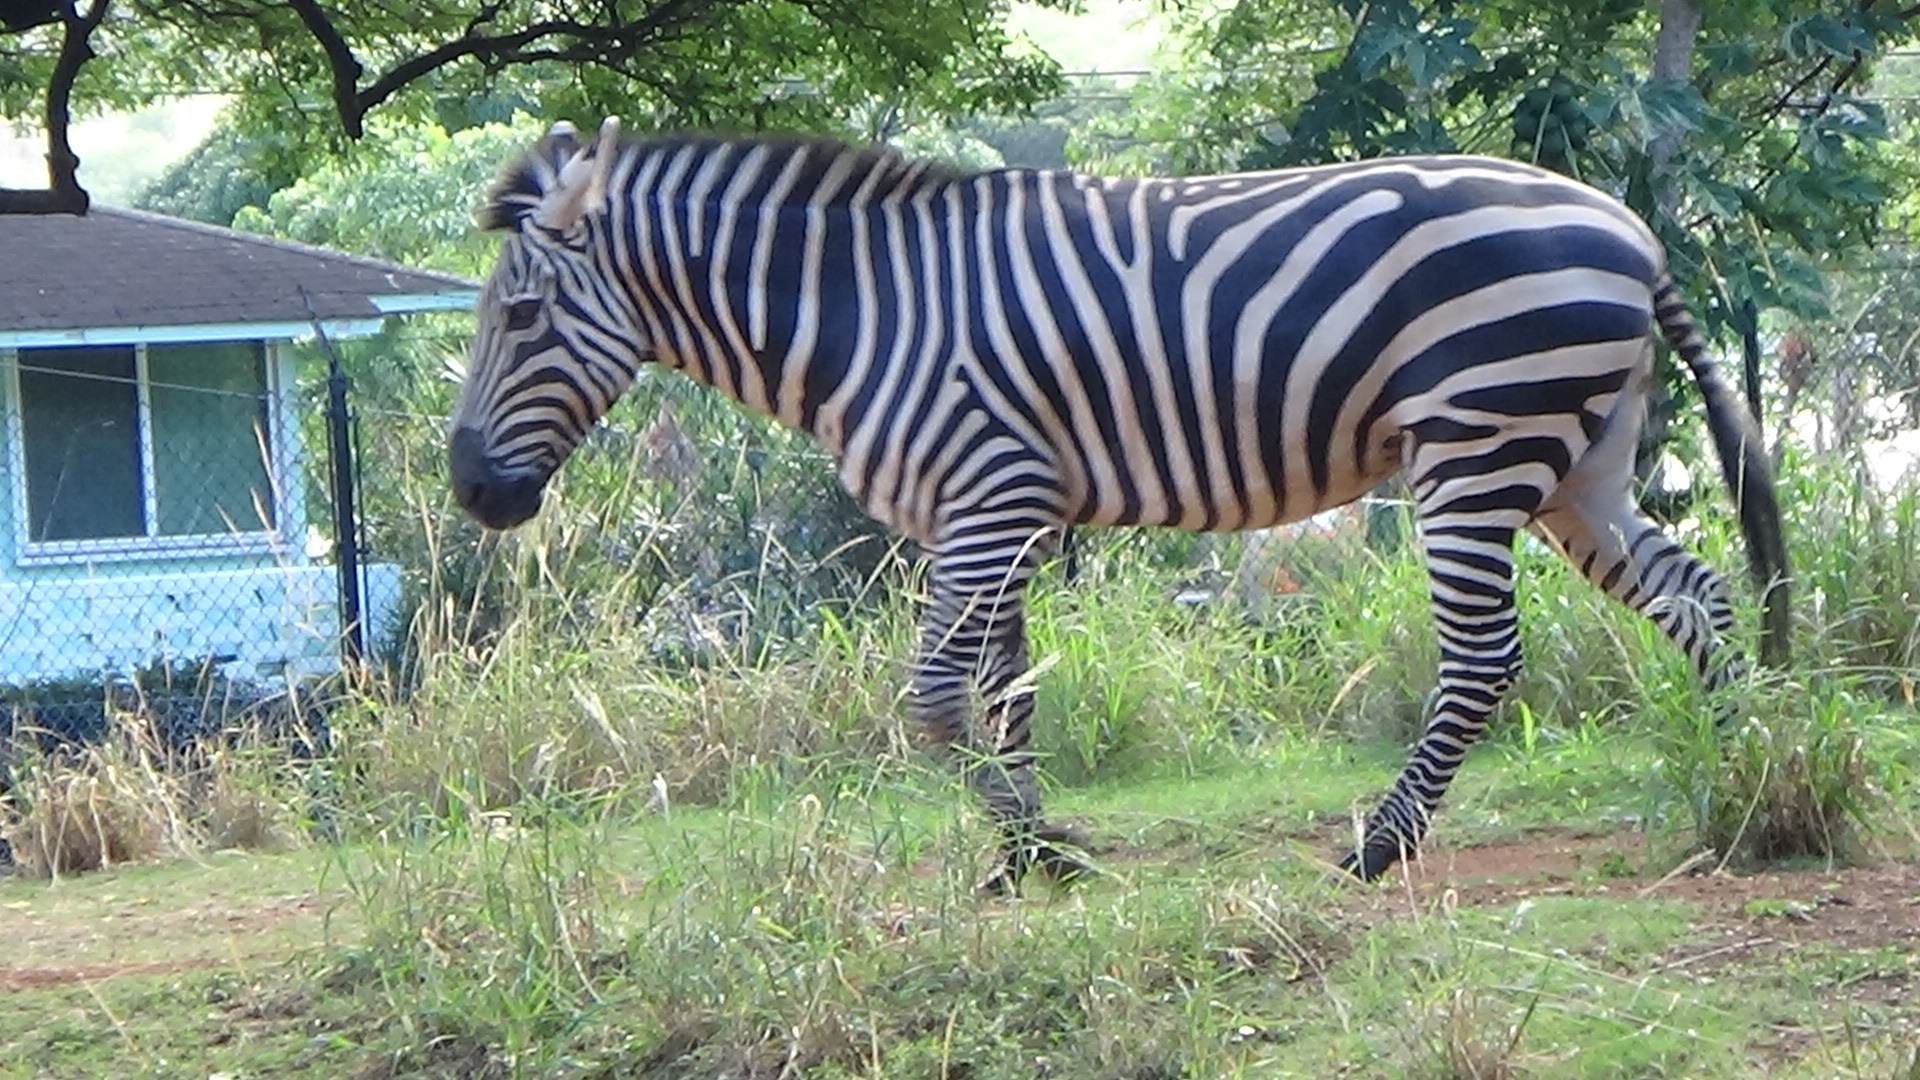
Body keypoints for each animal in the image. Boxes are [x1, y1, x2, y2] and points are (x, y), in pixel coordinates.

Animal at [449, 117, 1788, 891]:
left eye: (520, 316)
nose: (470, 488)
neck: (863, 314)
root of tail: (1632, 230)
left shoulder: (993, 493)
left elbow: (934, 695)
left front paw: (1037, 848)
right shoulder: (987, 507)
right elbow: (1005, 689)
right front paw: (1026, 853)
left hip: (1480, 436)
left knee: (1484, 655)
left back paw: (1379, 846)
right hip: (1578, 457)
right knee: (1697, 595)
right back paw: (1747, 775)